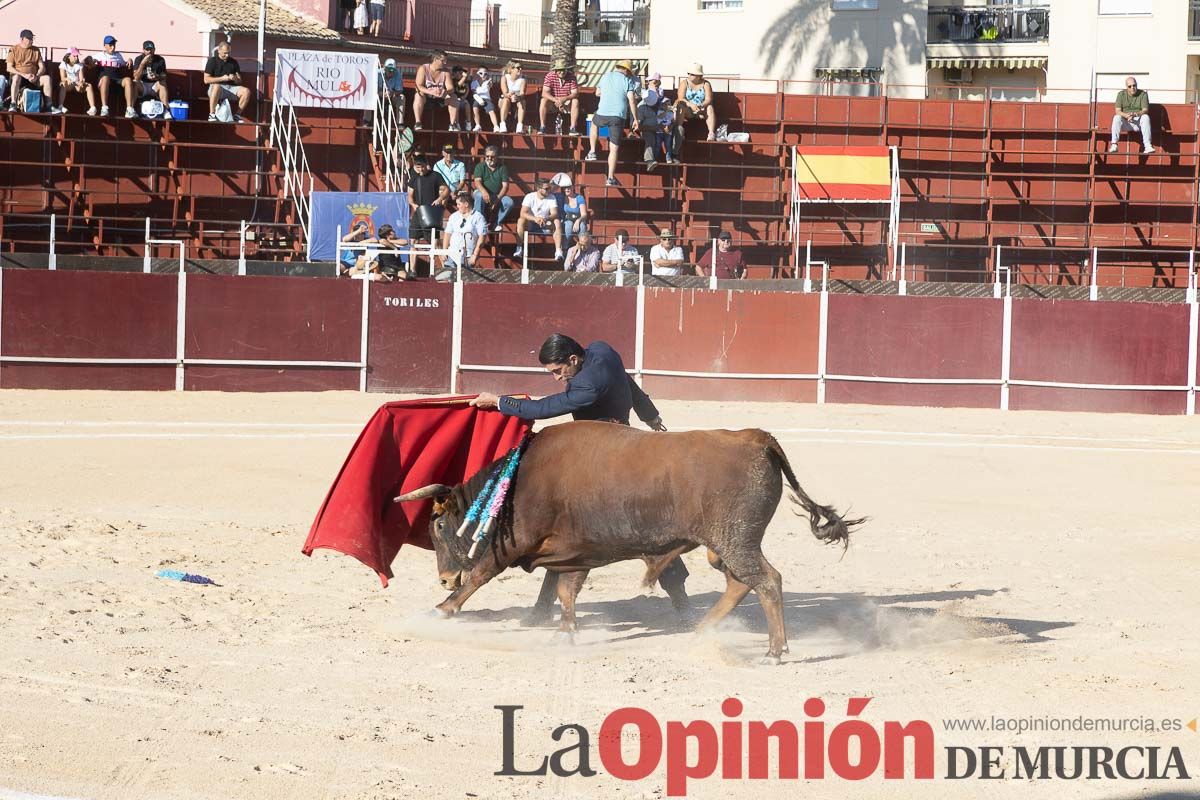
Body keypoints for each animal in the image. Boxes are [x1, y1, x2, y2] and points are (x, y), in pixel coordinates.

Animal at [396, 419, 864, 662]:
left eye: (439, 526)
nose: (444, 578)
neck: (514, 483)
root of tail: (757, 438)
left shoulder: (513, 544)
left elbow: (481, 576)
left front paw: (440, 610)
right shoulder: (576, 551)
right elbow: (565, 591)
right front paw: (565, 633)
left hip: (736, 540)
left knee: (766, 580)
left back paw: (774, 650)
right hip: (723, 546)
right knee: (739, 582)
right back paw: (701, 630)